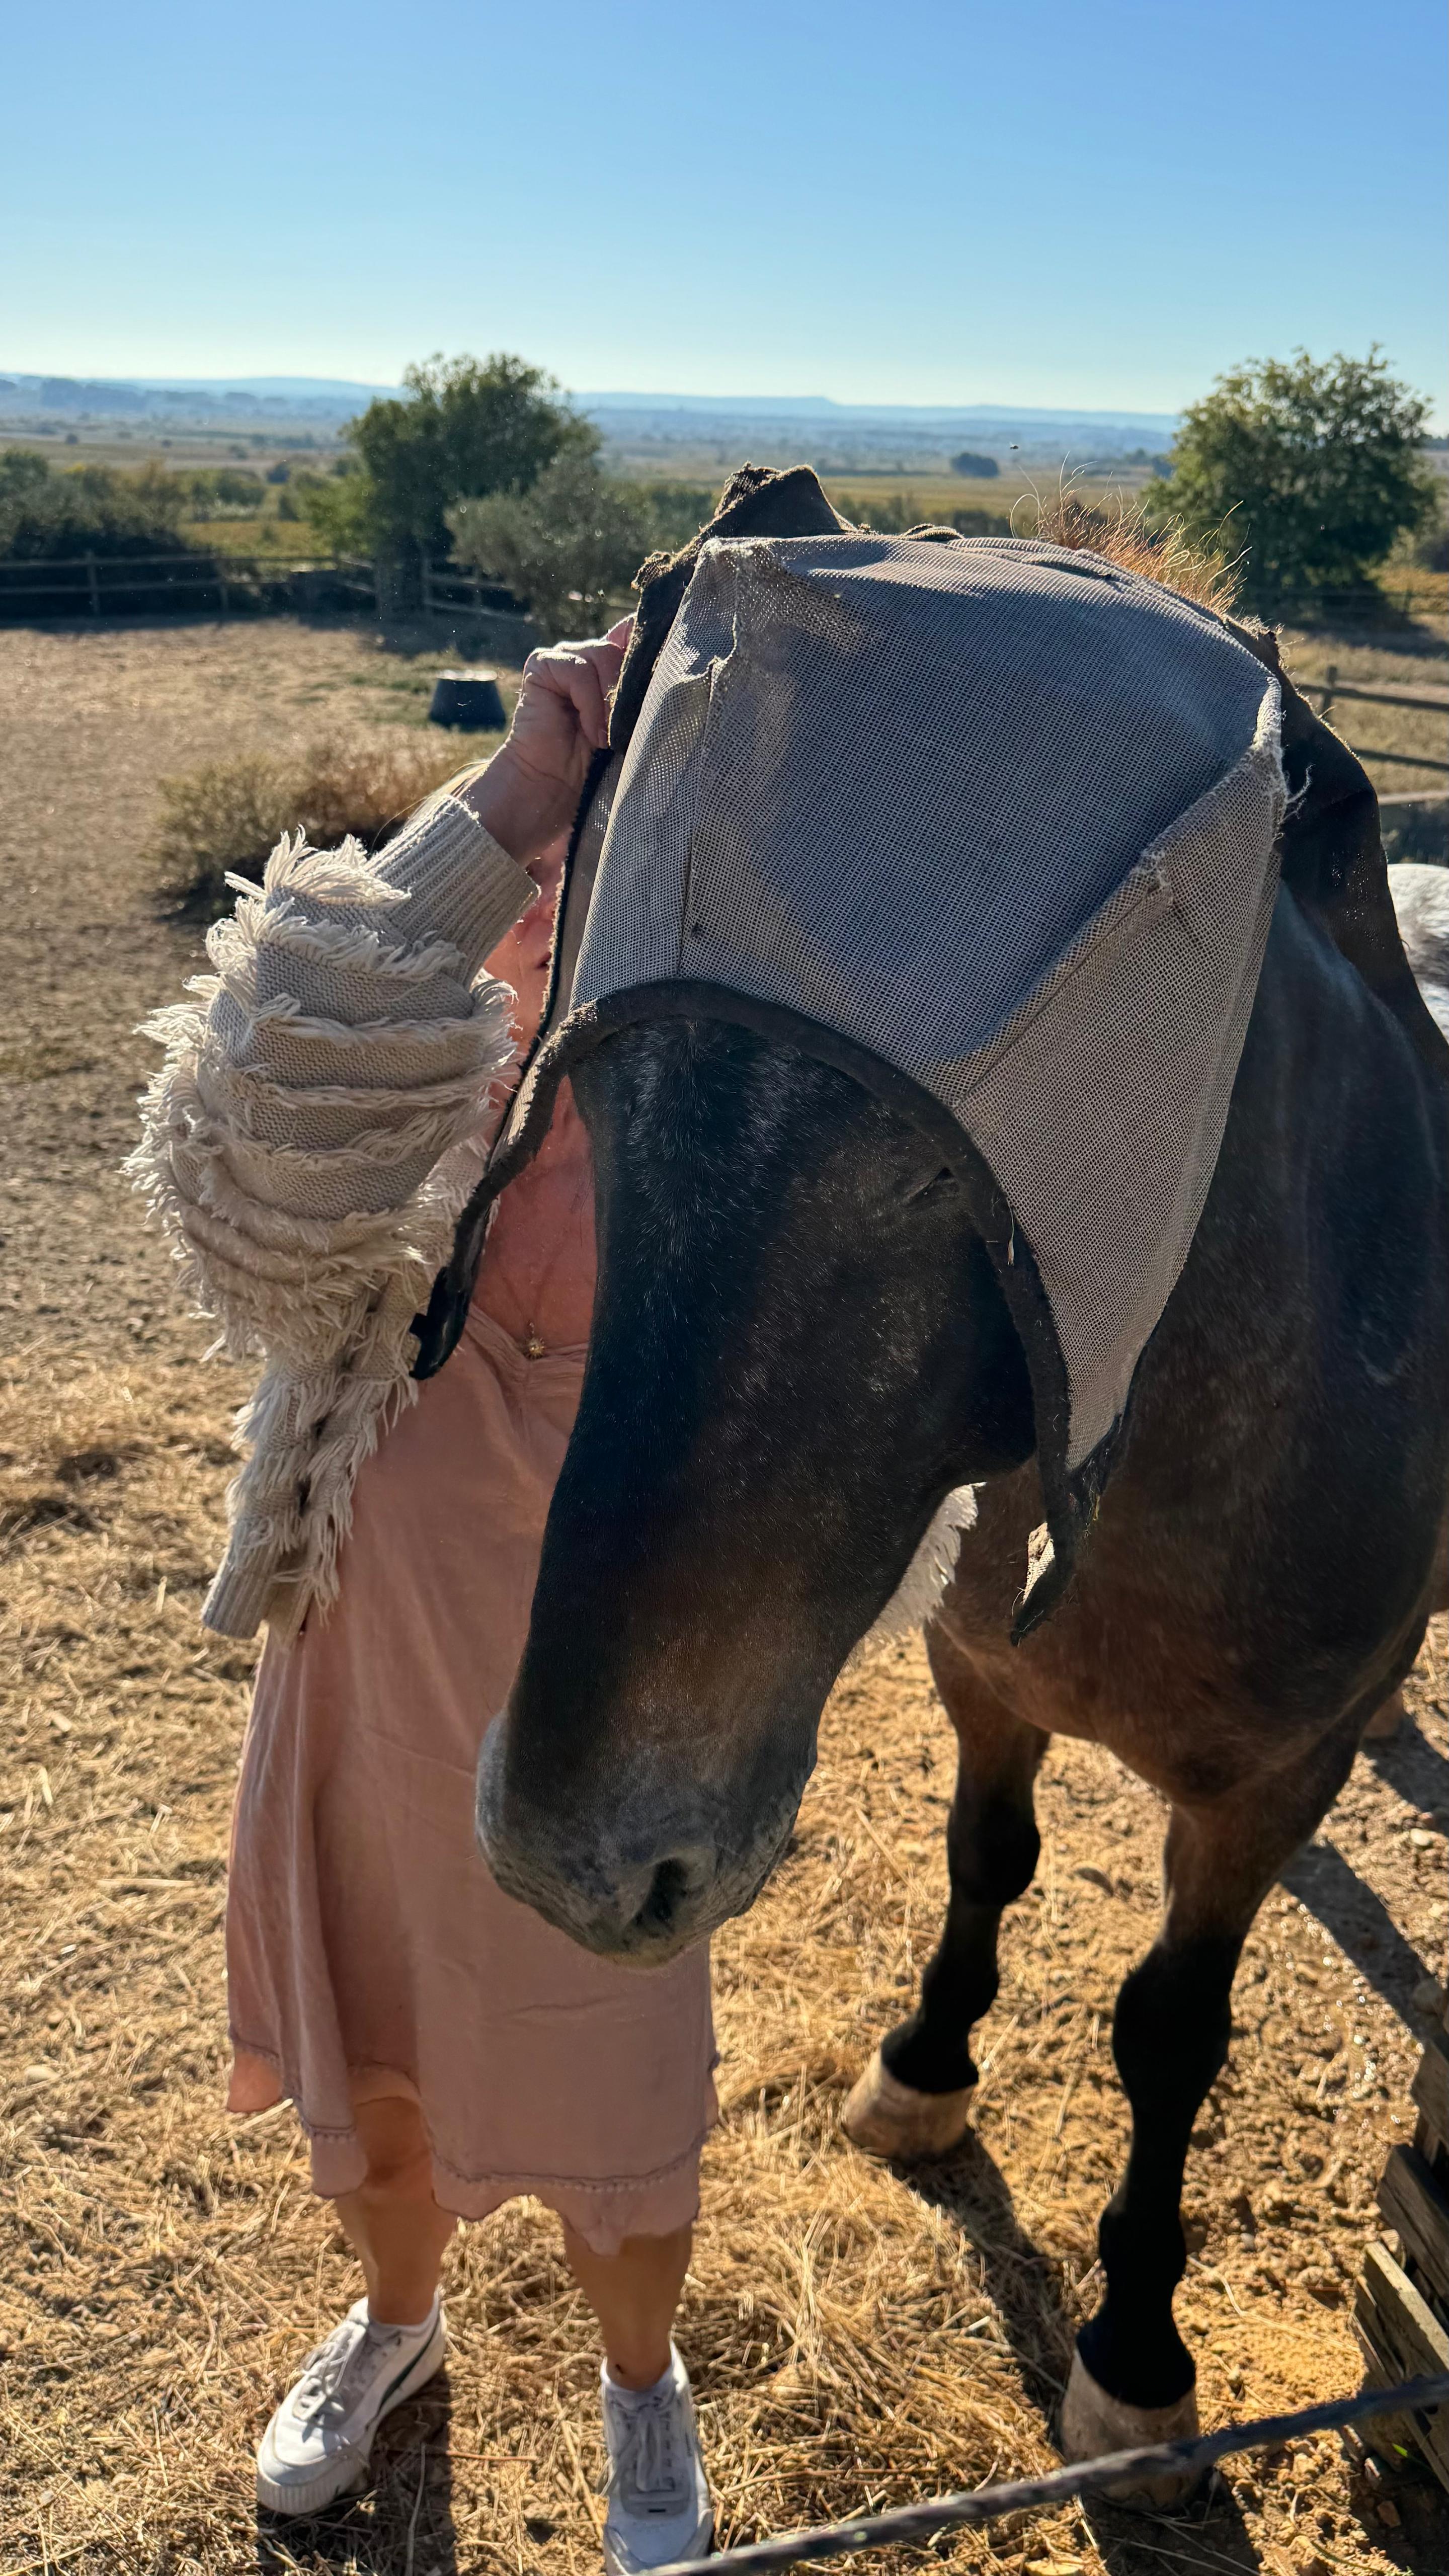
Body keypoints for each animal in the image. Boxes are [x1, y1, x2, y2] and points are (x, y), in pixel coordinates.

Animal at [416, 471, 1449, 2493]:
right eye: (605, 1089)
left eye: (940, 1179)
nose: (574, 1855)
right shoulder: (985, 1674)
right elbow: (989, 1858)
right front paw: (921, 2063)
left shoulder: (1254, 1790)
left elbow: (1170, 2028)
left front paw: (1135, 2342)